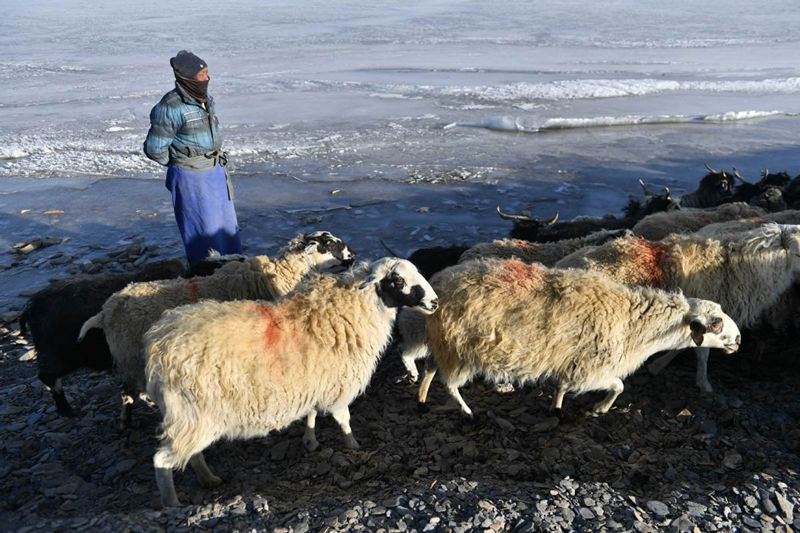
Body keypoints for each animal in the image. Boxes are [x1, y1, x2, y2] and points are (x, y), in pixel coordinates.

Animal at [78, 231, 355, 428]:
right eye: (331, 244)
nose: (352, 256)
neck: (283, 273)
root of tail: (105, 311)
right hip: (131, 356)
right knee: (127, 391)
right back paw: (128, 421)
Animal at [144, 257, 438, 507]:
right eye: (398, 280)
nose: (435, 302)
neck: (351, 310)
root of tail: (157, 347)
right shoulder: (339, 386)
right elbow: (344, 419)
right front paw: (353, 445)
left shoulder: (314, 382)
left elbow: (311, 414)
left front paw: (310, 442)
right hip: (193, 414)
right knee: (161, 460)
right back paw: (172, 503)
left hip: (193, 417)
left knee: (190, 453)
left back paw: (208, 479)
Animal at [417, 258, 740, 417]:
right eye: (716, 324)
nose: (738, 340)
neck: (635, 324)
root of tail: (440, 283)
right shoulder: (593, 368)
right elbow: (619, 386)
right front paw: (599, 409)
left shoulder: (574, 362)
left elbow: (562, 385)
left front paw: (557, 408)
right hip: (459, 350)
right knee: (450, 384)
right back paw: (467, 411)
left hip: (443, 344)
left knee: (430, 370)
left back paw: (421, 398)